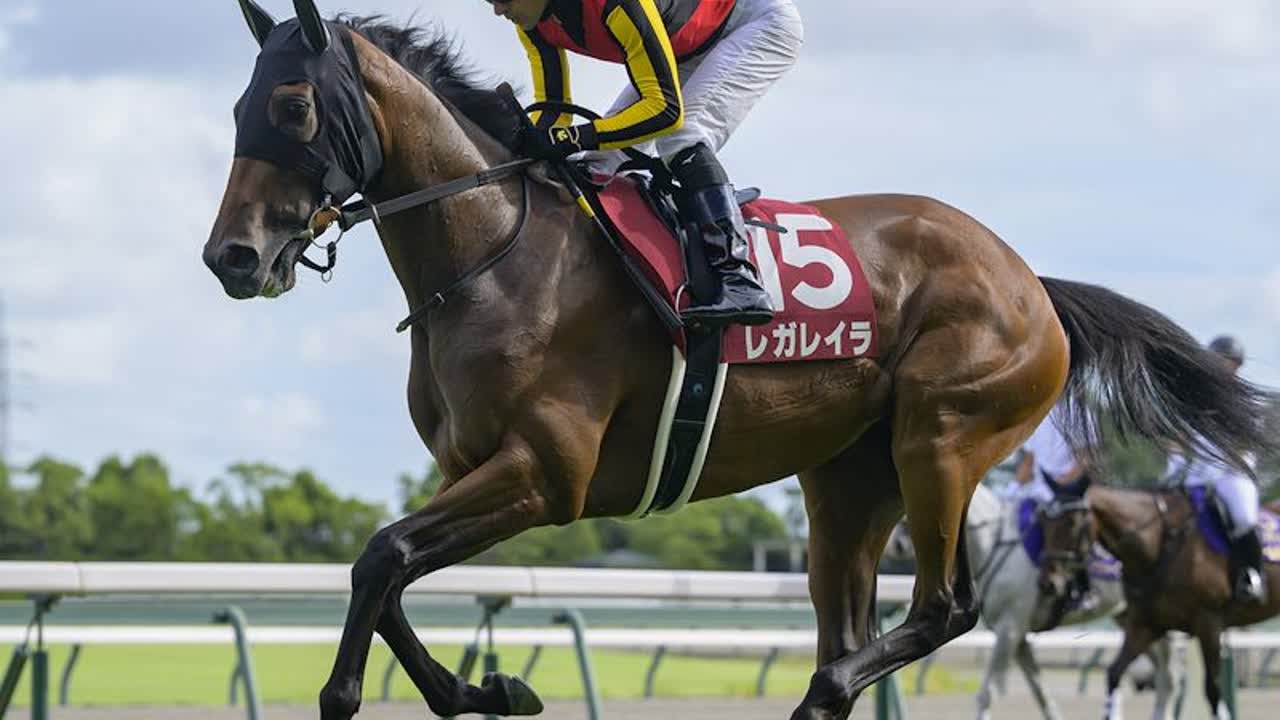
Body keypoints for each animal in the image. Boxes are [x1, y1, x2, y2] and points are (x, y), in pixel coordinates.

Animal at [965, 483, 1176, 720]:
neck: (993, 543)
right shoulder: (1018, 638)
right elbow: (1042, 695)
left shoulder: (1009, 630)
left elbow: (986, 694)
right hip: (1136, 623)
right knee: (1163, 675)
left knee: (1168, 677)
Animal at [1036, 480, 1280, 720]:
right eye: (1043, 522)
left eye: (1072, 523)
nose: (1048, 582)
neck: (1159, 546)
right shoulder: (1146, 626)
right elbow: (1114, 674)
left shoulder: (1209, 624)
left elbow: (1213, 689)